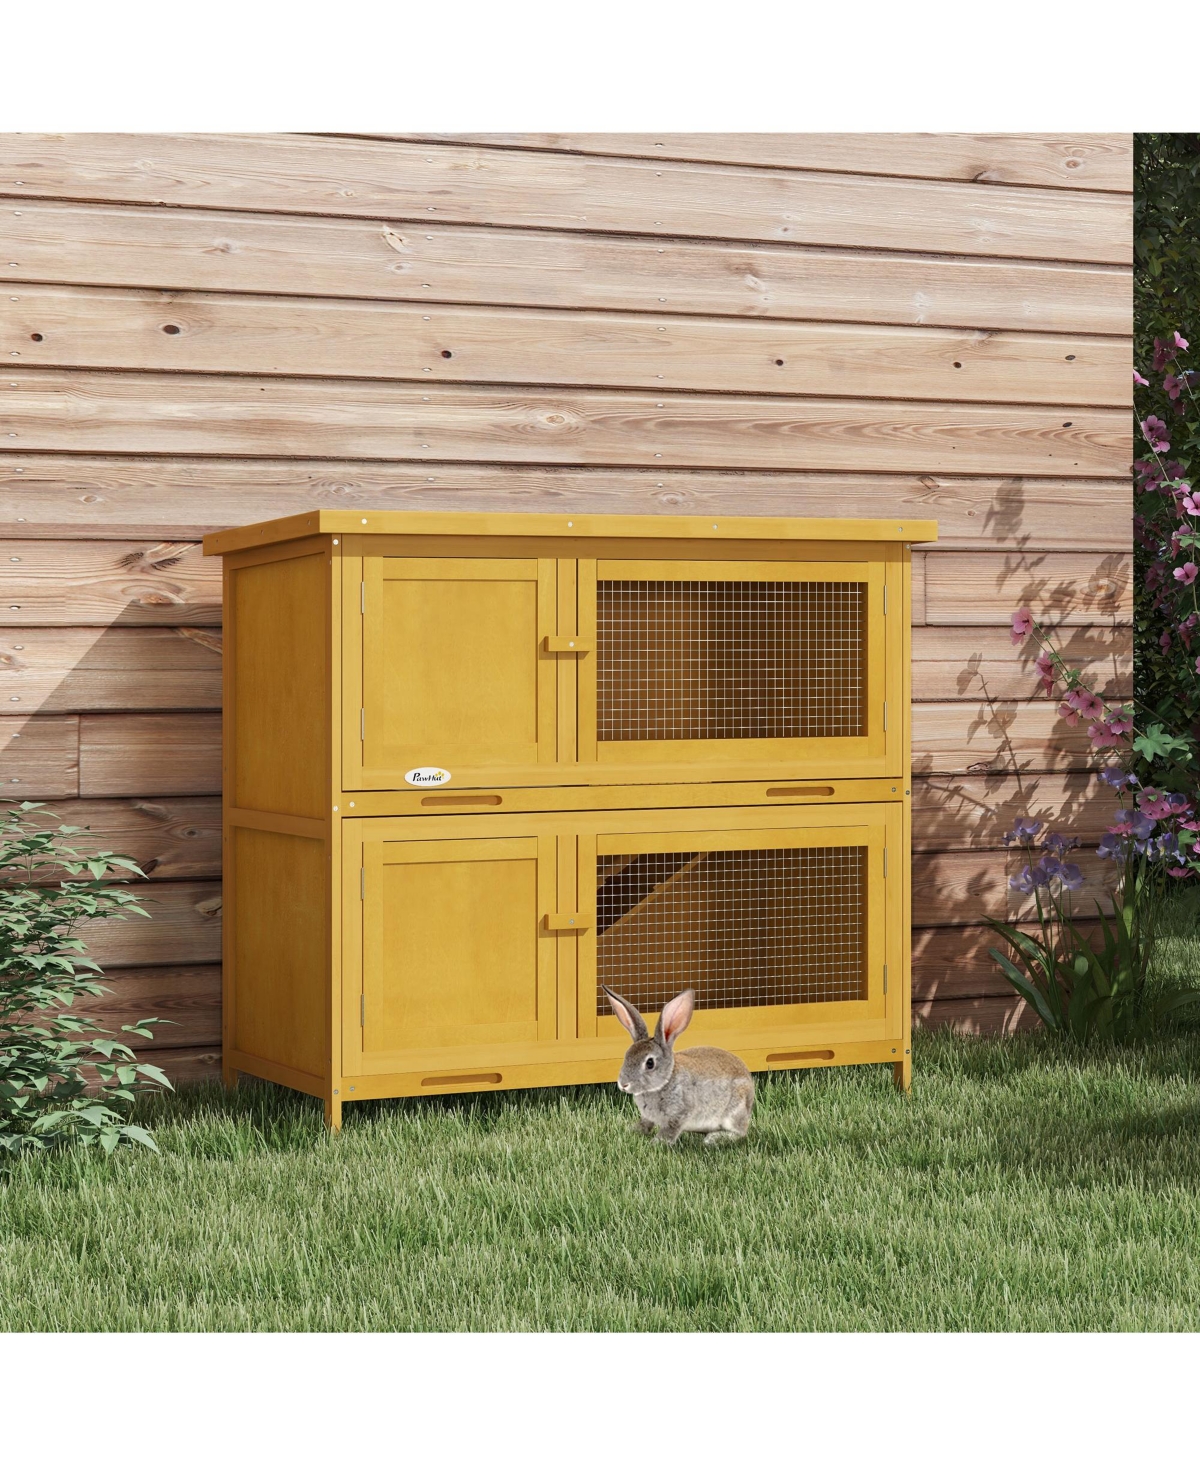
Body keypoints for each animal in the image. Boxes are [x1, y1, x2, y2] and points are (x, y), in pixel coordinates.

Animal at [602, 985, 754, 1145]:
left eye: (650, 1063)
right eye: (626, 1056)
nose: (623, 1084)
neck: (665, 1081)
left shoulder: (680, 1113)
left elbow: (670, 1130)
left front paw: (657, 1143)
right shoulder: (649, 1117)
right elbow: (646, 1123)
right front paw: (633, 1131)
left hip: (734, 1111)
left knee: (740, 1132)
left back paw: (713, 1138)